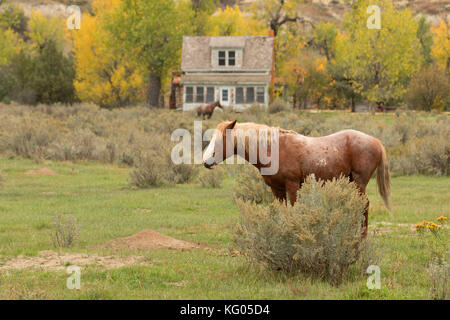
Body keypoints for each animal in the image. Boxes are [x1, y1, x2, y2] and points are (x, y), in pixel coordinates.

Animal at [202, 120, 392, 235]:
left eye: (219, 140)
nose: (206, 161)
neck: (274, 149)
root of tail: (376, 141)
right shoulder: (277, 189)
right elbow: (281, 211)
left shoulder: (292, 186)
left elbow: (293, 209)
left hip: (360, 182)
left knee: (364, 204)